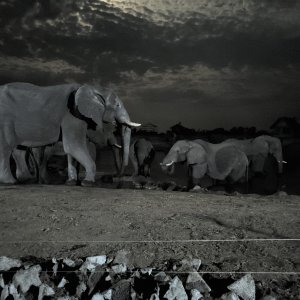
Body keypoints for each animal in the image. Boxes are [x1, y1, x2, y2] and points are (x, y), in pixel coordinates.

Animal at [0, 82, 141, 185]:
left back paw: (26, 180)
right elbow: (73, 146)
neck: (94, 88)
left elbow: (72, 150)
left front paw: (71, 183)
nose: (112, 177)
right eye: (117, 105)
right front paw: (87, 183)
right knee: (6, 149)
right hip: (5, 120)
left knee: (19, 150)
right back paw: (10, 182)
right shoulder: (72, 115)